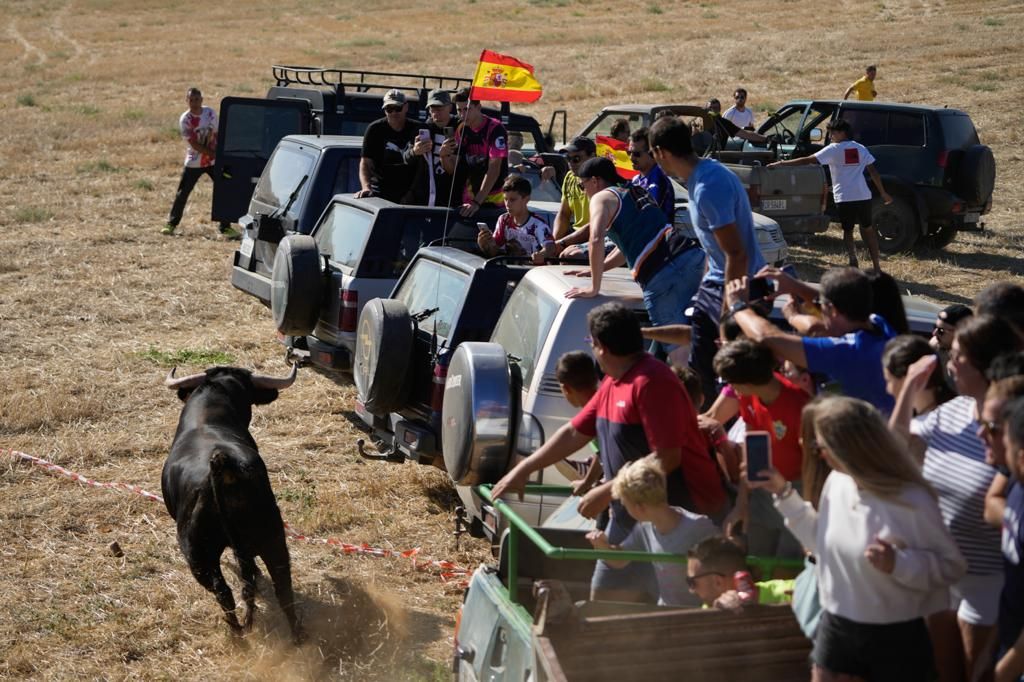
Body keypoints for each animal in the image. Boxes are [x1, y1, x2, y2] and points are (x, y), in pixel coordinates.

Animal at [160, 364, 299, 638]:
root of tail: (222, 462)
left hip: (197, 554)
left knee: (223, 591)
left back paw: (236, 635)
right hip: (273, 536)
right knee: (282, 587)